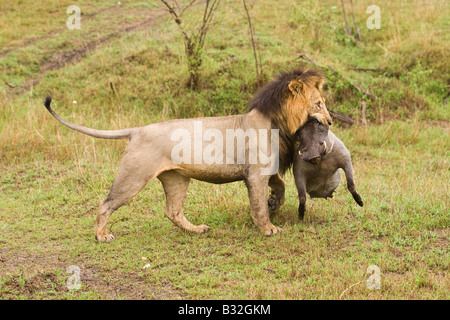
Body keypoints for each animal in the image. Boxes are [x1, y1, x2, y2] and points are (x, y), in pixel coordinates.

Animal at [43, 68, 330, 242]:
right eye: (318, 104)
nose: (329, 121)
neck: (278, 123)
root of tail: (137, 130)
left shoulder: (265, 169)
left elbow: (280, 187)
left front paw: (274, 203)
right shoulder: (256, 173)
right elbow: (258, 206)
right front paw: (269, 228)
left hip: (176, 178)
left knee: (172, 211)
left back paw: (197, 230)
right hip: (133, 177)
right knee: (106, 203)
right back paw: (101, 235)